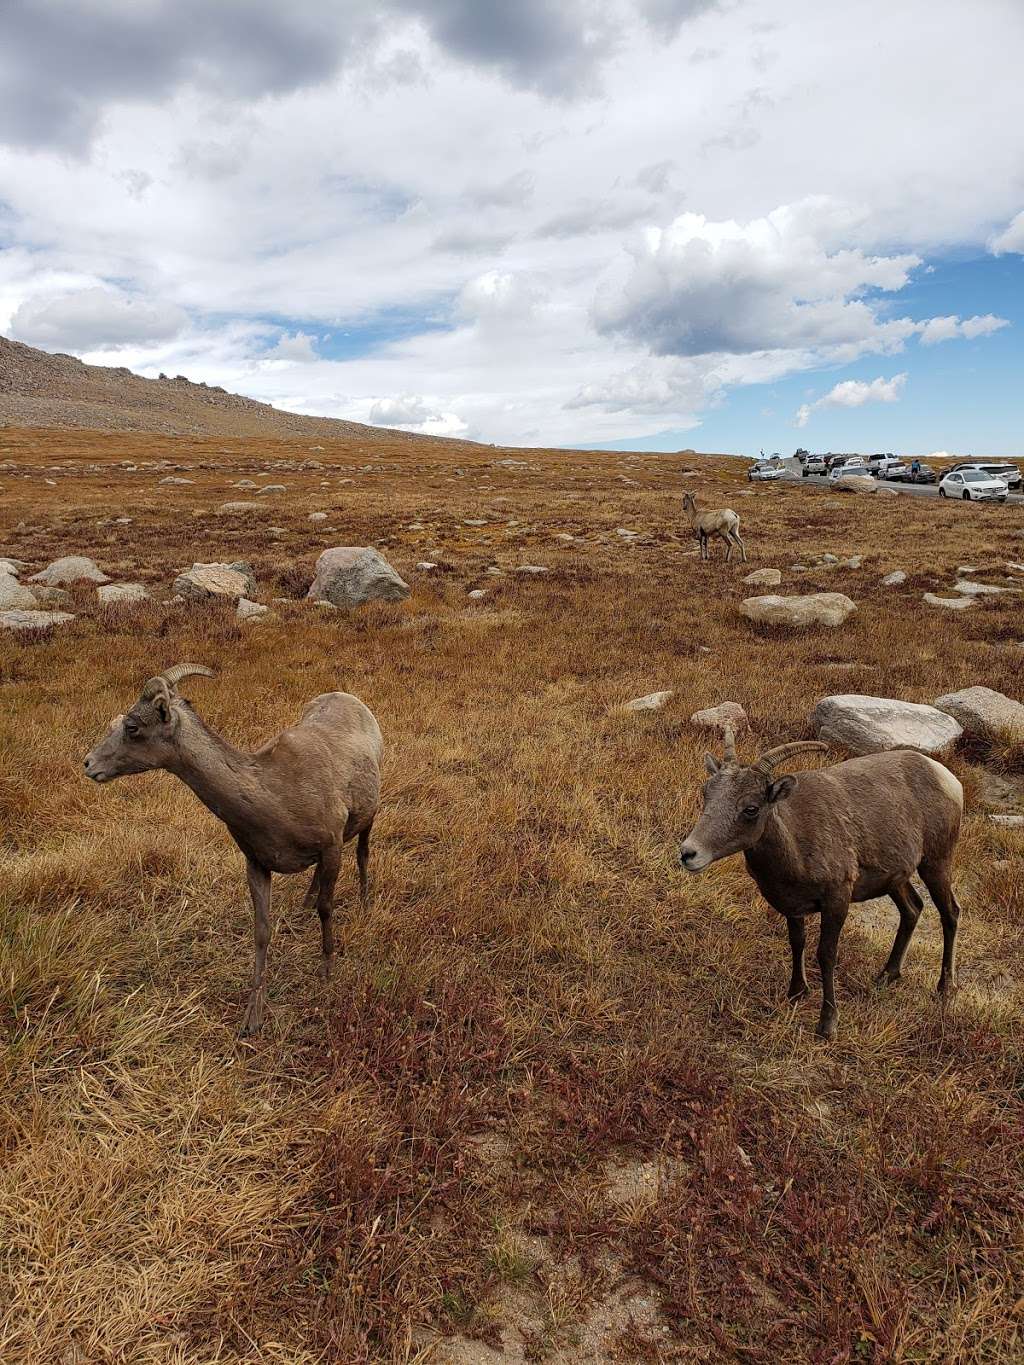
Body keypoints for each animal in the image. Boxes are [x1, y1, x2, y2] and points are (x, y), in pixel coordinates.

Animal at [85, 663, 385, 1031]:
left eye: (132, 726)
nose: (88, 764)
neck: (277, 798)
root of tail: (353, 701)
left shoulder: (330, 846)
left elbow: (326, 908)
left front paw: (328, 970)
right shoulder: (256, 862)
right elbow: (262, 931)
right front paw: (252, 1016)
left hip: (369, 816)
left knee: (363, 853)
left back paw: (366, 904)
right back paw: (302, 905)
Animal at [682, 731, 961, 1037]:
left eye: (751, 808)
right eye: (706, 793)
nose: (688, 853)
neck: (797, 845)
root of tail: (946, 777)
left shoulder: (836, 900)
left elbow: (826, 955)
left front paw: (827, 1024)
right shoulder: (792, 906)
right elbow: (797, 942)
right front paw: (796, 993)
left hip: (936, 863)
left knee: (950, 913)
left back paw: (945, 989)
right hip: (895, 879)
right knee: (912, 909)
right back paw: (886, 976)